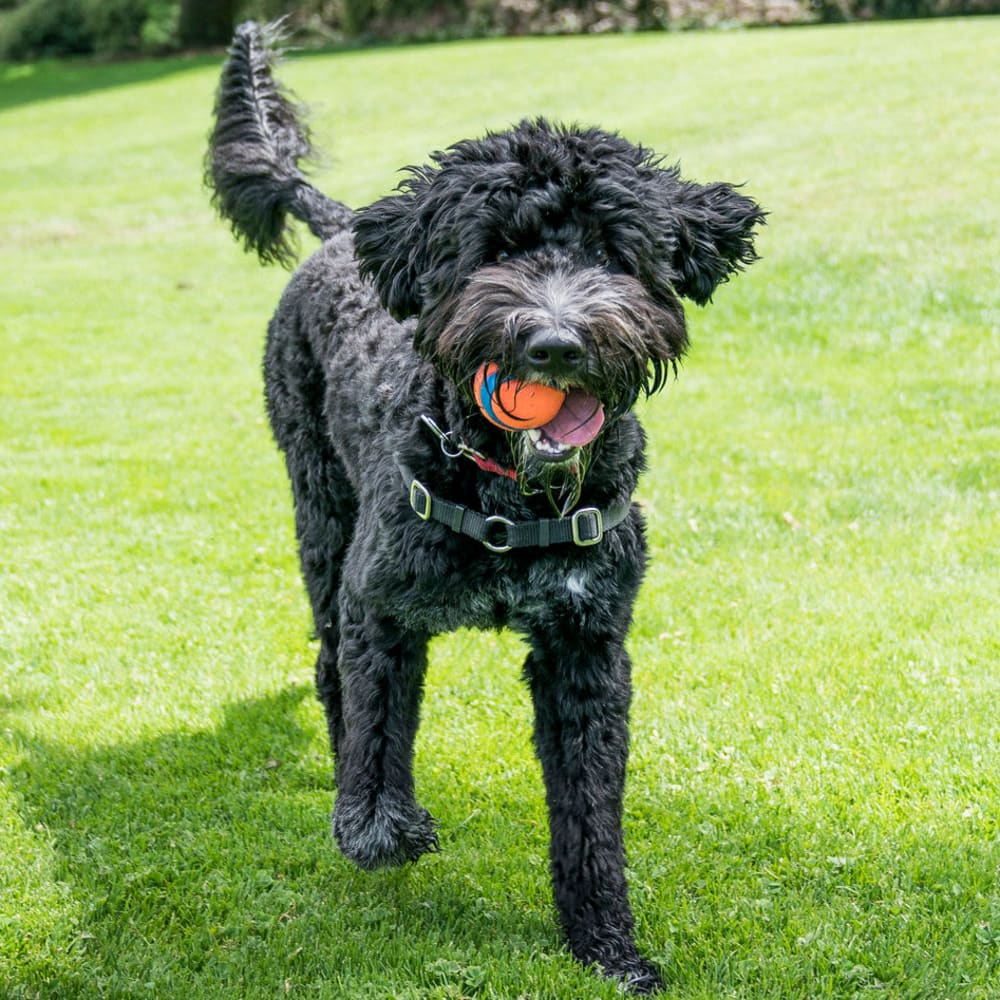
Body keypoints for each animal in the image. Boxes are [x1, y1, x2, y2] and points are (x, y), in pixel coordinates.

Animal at [205, 21, 764, 992]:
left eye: (612, 253)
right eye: (495, 250)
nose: (555, 342)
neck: (506, 490)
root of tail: (343, 231)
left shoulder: (587, 650)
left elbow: (590, 814)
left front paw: (606, 944)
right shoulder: (382, 607)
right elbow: (379, 728)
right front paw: (381, 826)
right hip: (320, 513)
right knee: (330, 667)